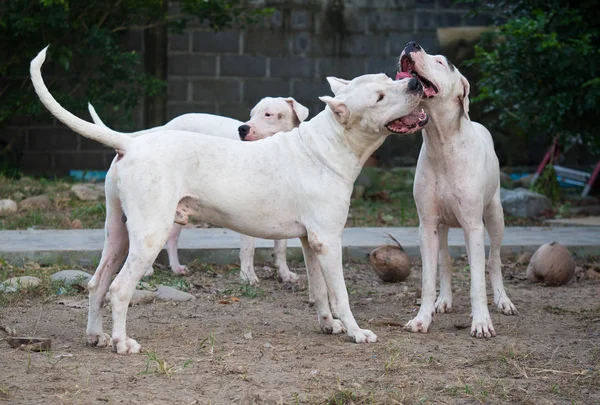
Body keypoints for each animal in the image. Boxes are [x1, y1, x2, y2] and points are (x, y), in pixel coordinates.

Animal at [86, 96, 308, 284]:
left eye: (268, 114)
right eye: (252, 114)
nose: (242, 128)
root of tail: (167, 125)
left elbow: (281, 247)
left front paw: (285, 273)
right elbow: (248, 248)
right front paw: (248, 275)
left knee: (171, 238)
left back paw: (176, 267)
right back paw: (148, 270)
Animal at [396, 41, 516, 338]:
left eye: (441, 62)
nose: (412, 44)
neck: (441, 141)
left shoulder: (474, 225)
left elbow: (477, 281)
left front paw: (482, 322)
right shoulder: (427, 225)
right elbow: (429, 278)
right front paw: (422, 318)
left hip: (494, 215)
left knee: (493, 260)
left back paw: (502, 300)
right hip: (443, 227)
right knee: (446, 260)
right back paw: (444, 300)